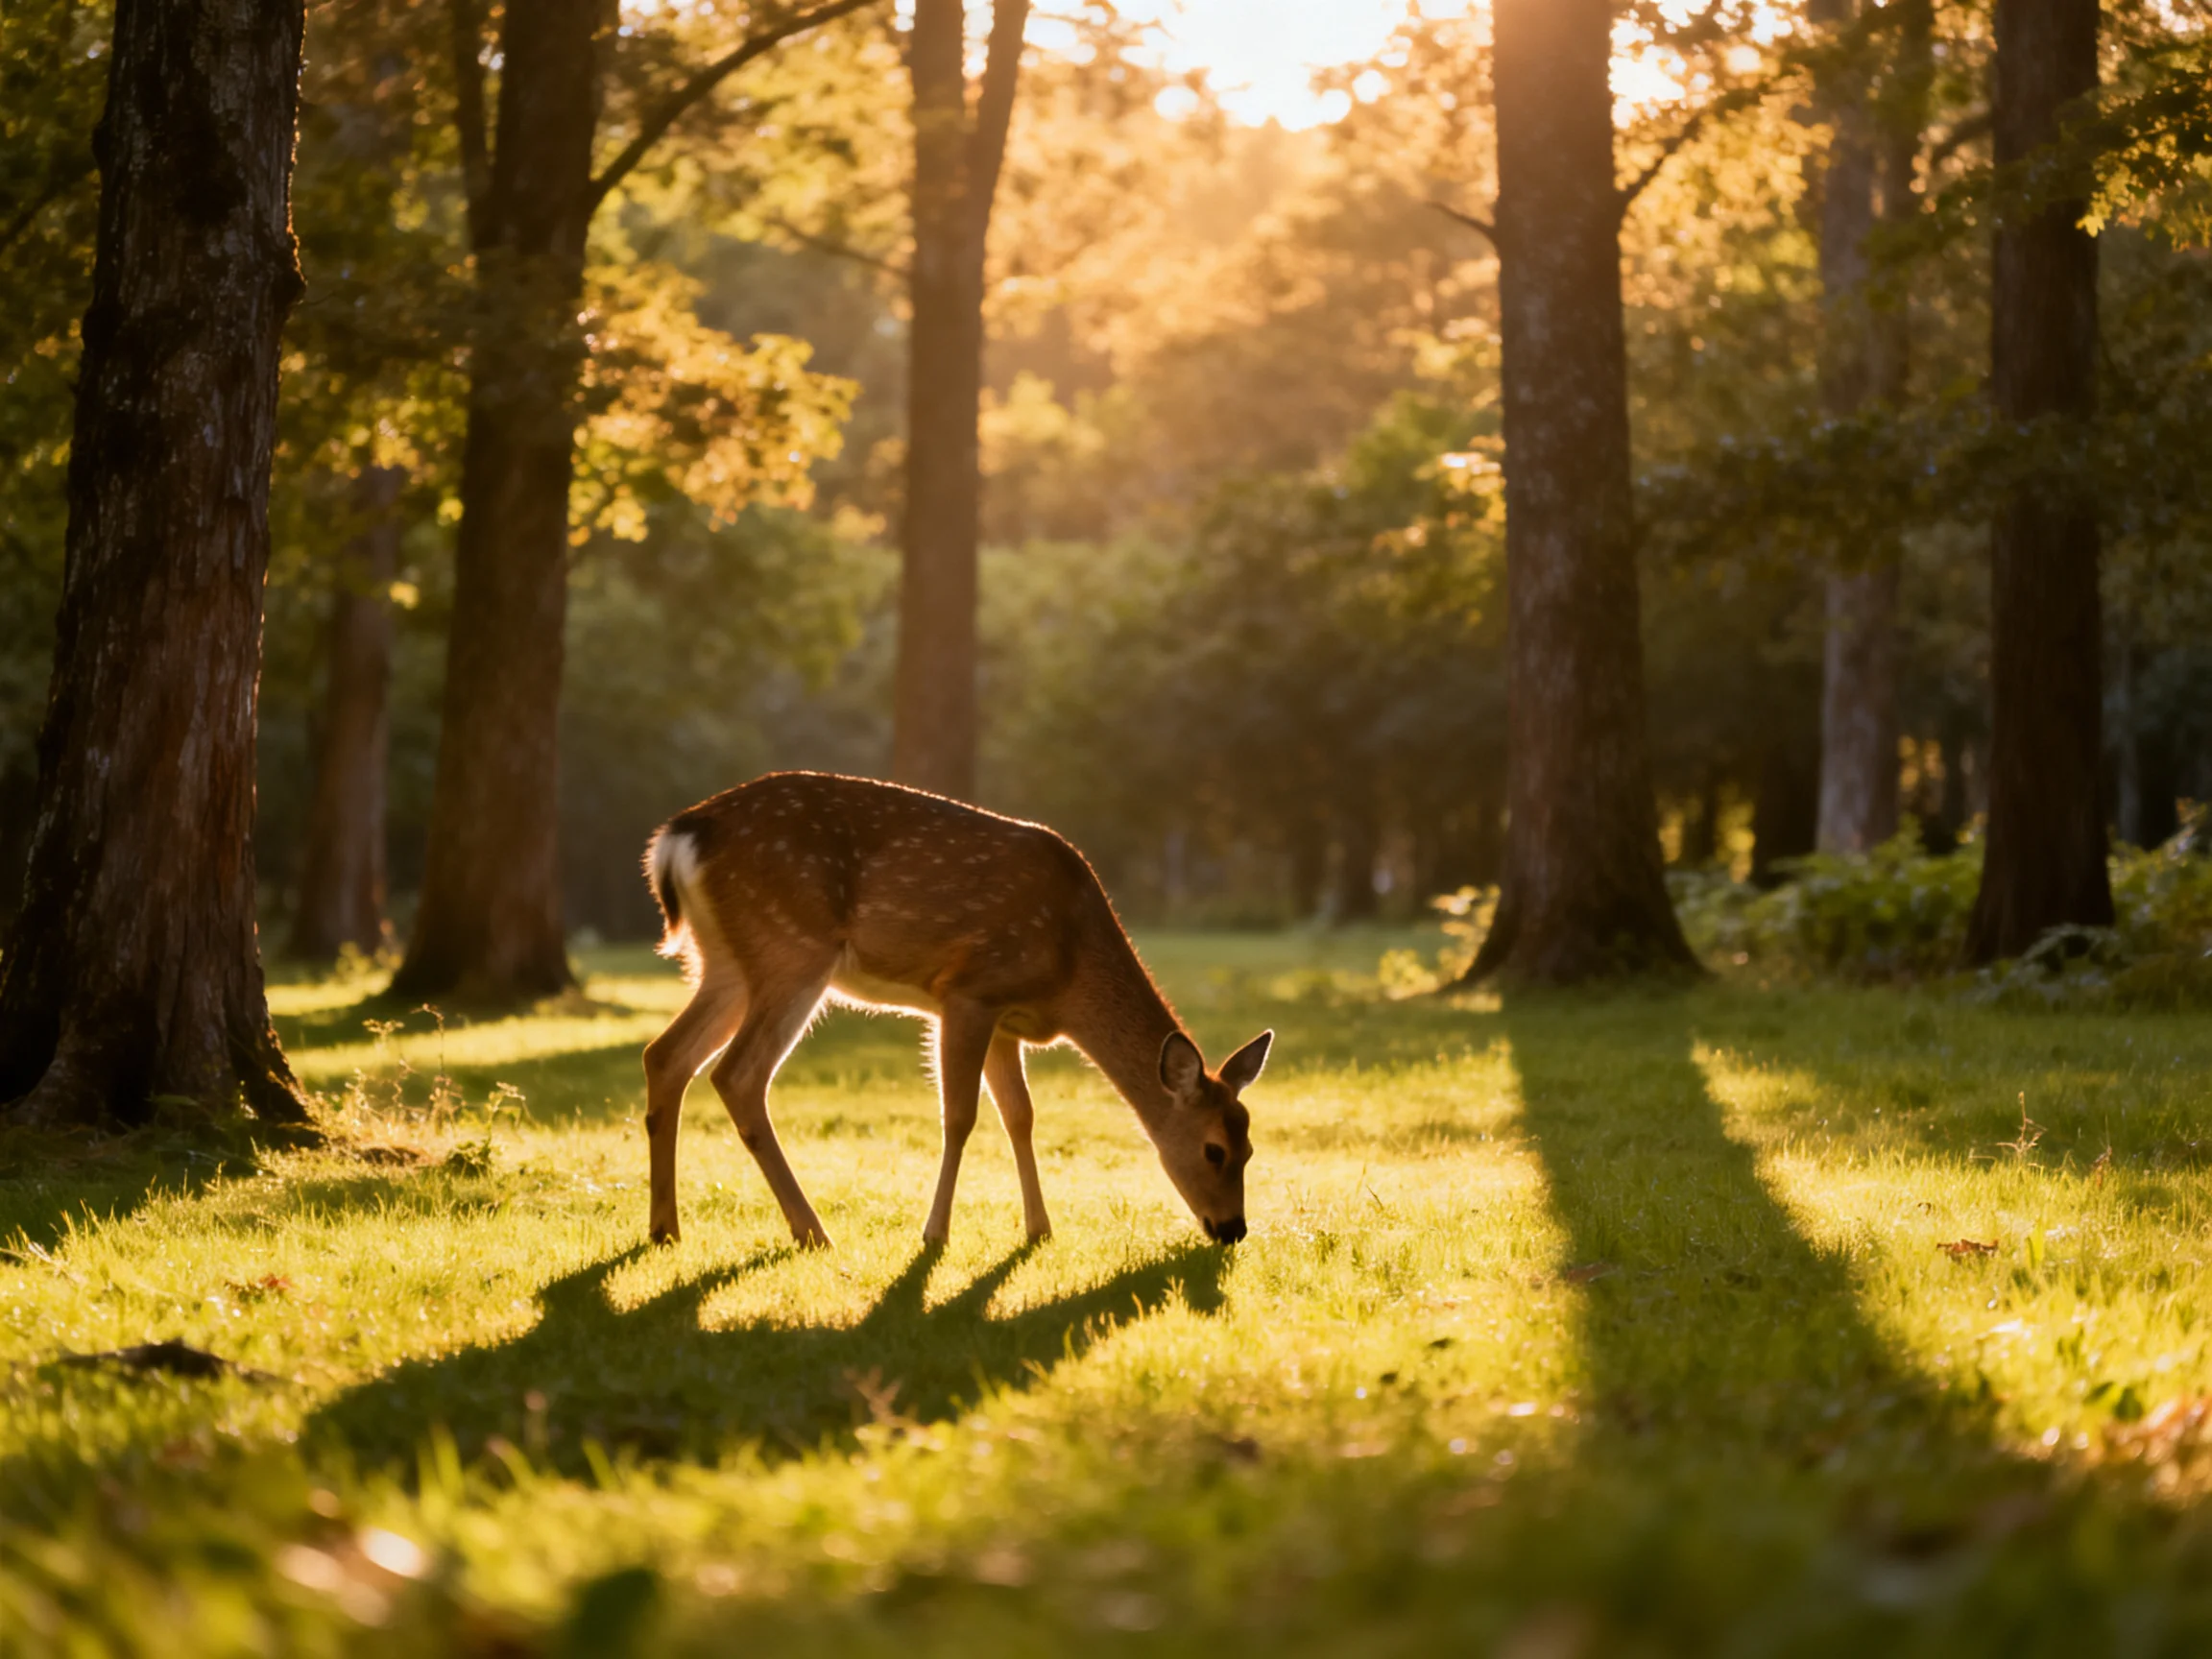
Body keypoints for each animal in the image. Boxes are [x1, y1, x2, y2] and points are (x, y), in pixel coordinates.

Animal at [639, 771, 1272, 1251]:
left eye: (1250, 1148)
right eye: (1214, 1149)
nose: (1234, 1229)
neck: (1070, 973)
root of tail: (678, 836)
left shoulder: (1006, 1020)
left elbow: (1021, 1115)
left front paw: (1040, 1229)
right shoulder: (968, 991)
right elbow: (961, 1116)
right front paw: (935, 1234)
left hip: (725, 962)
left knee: (665, 1054)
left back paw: (666, 1228)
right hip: (792, 947)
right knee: (737, 1073)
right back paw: (812, 1230)